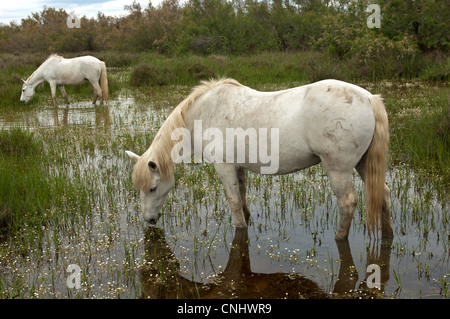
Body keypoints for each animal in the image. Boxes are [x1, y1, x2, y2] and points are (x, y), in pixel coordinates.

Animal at [125, 78, 392, 240]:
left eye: (153, 188)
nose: (149, 220)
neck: (205, 113)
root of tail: (369, 98)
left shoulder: (224, 167)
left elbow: (233, 201)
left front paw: (241, 228)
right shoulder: (238, 166)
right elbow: (242, 195)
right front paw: (247, 217)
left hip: (338, 168)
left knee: (347, 203)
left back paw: (339, 237)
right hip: (363, 164)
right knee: (383, 194)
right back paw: (388, 234)